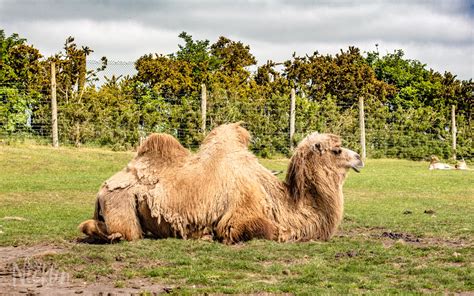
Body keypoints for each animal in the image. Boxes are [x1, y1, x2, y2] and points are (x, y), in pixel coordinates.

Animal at [79, 122, 364, 243]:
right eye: (337, 150)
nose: (359, 158)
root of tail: (103, 188)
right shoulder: (241, 214)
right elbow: (265, 230)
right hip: (121, 201)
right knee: (123, 232)